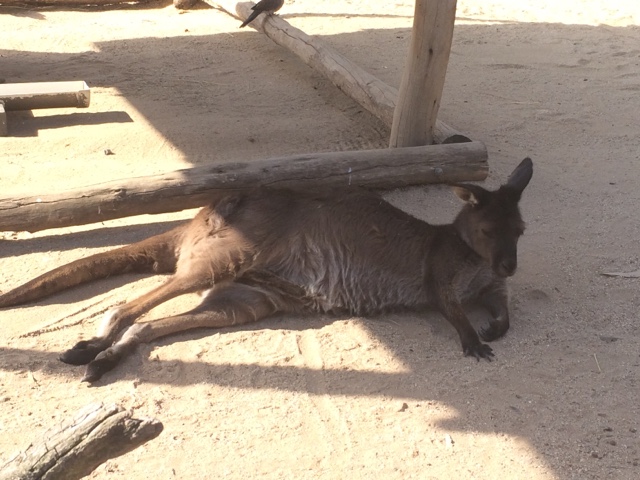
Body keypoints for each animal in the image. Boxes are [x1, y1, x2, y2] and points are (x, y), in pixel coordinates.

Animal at [0, 158, 533, 383]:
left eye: (521, 230)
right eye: (488, 230)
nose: (510, 265)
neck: (471, 256)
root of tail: (201, 215)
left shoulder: (493, 286)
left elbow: (505, 310)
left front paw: (496, 329)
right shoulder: (439, 275)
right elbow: (451, 308)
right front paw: (475, 341)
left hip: (247, 301)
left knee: (152, 324)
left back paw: (101, 362)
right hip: (228, 258)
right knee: (128, 306)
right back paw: (92, 347)